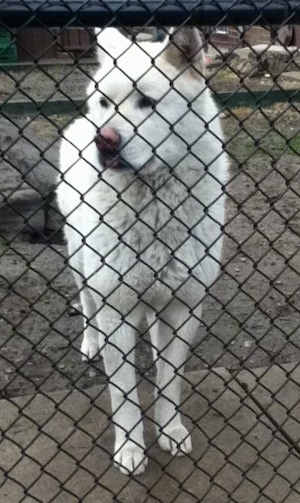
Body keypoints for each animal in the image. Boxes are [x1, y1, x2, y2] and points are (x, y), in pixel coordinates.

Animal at [57, 27, 229, 476]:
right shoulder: (116, 307)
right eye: (106, 102)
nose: (104, 142)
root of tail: (80, 122)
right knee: (86, 305)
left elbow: (169, 379)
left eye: (147, 103)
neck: (152, 204)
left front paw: (171, 430)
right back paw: (90, 344)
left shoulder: (183, 306)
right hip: (80, 262)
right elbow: (124, 394)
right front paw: (131, 449)